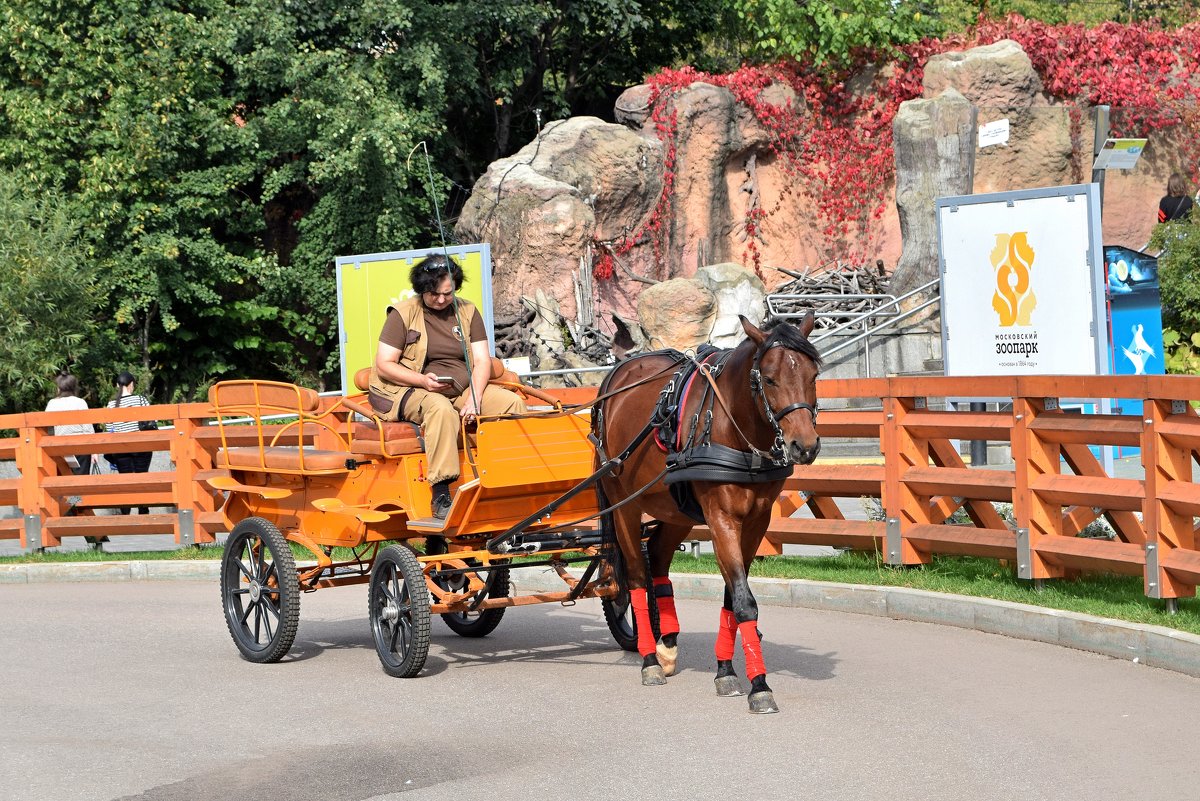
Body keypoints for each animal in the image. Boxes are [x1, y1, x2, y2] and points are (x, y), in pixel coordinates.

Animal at [592, 311, 820, 714]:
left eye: (813, 375)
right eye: (769, 378)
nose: (804, 446)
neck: (735, 426)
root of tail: (617, 375)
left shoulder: (756, 521)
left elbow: (734, 595)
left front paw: (726, 670)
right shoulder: (721, 518)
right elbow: (744, 601)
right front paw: (759, 685)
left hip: (675, 510)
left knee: (658, 560)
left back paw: (667, 645)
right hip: (626, 506)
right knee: (635, 576)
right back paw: (649, 660)